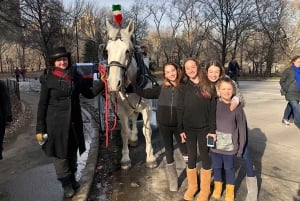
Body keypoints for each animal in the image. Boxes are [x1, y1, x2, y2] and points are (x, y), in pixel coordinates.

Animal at [105, 18, 157, 170]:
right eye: (107, 51)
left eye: (127, 51)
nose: (113, 83)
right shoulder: (121, 110)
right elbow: (124, 132)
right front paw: (125, 159)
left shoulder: (146, 107)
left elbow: (147, 131)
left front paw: (151, 158)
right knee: (131, 119)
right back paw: (132, 138)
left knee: (134, 116)